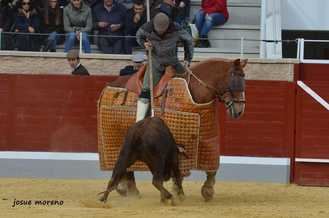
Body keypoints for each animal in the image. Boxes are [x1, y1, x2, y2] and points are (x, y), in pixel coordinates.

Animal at [105, 58, 246, 201]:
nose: (240, 110)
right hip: (118, 140)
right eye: (234, 78)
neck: (194, 92)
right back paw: (128, 189)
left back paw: (127, 189)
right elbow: (179, 170)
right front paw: (178, 192)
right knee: (123, 163)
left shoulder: (208, 141)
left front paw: (208, 190)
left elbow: (212, 167)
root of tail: (111, 83)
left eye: (244, 77)